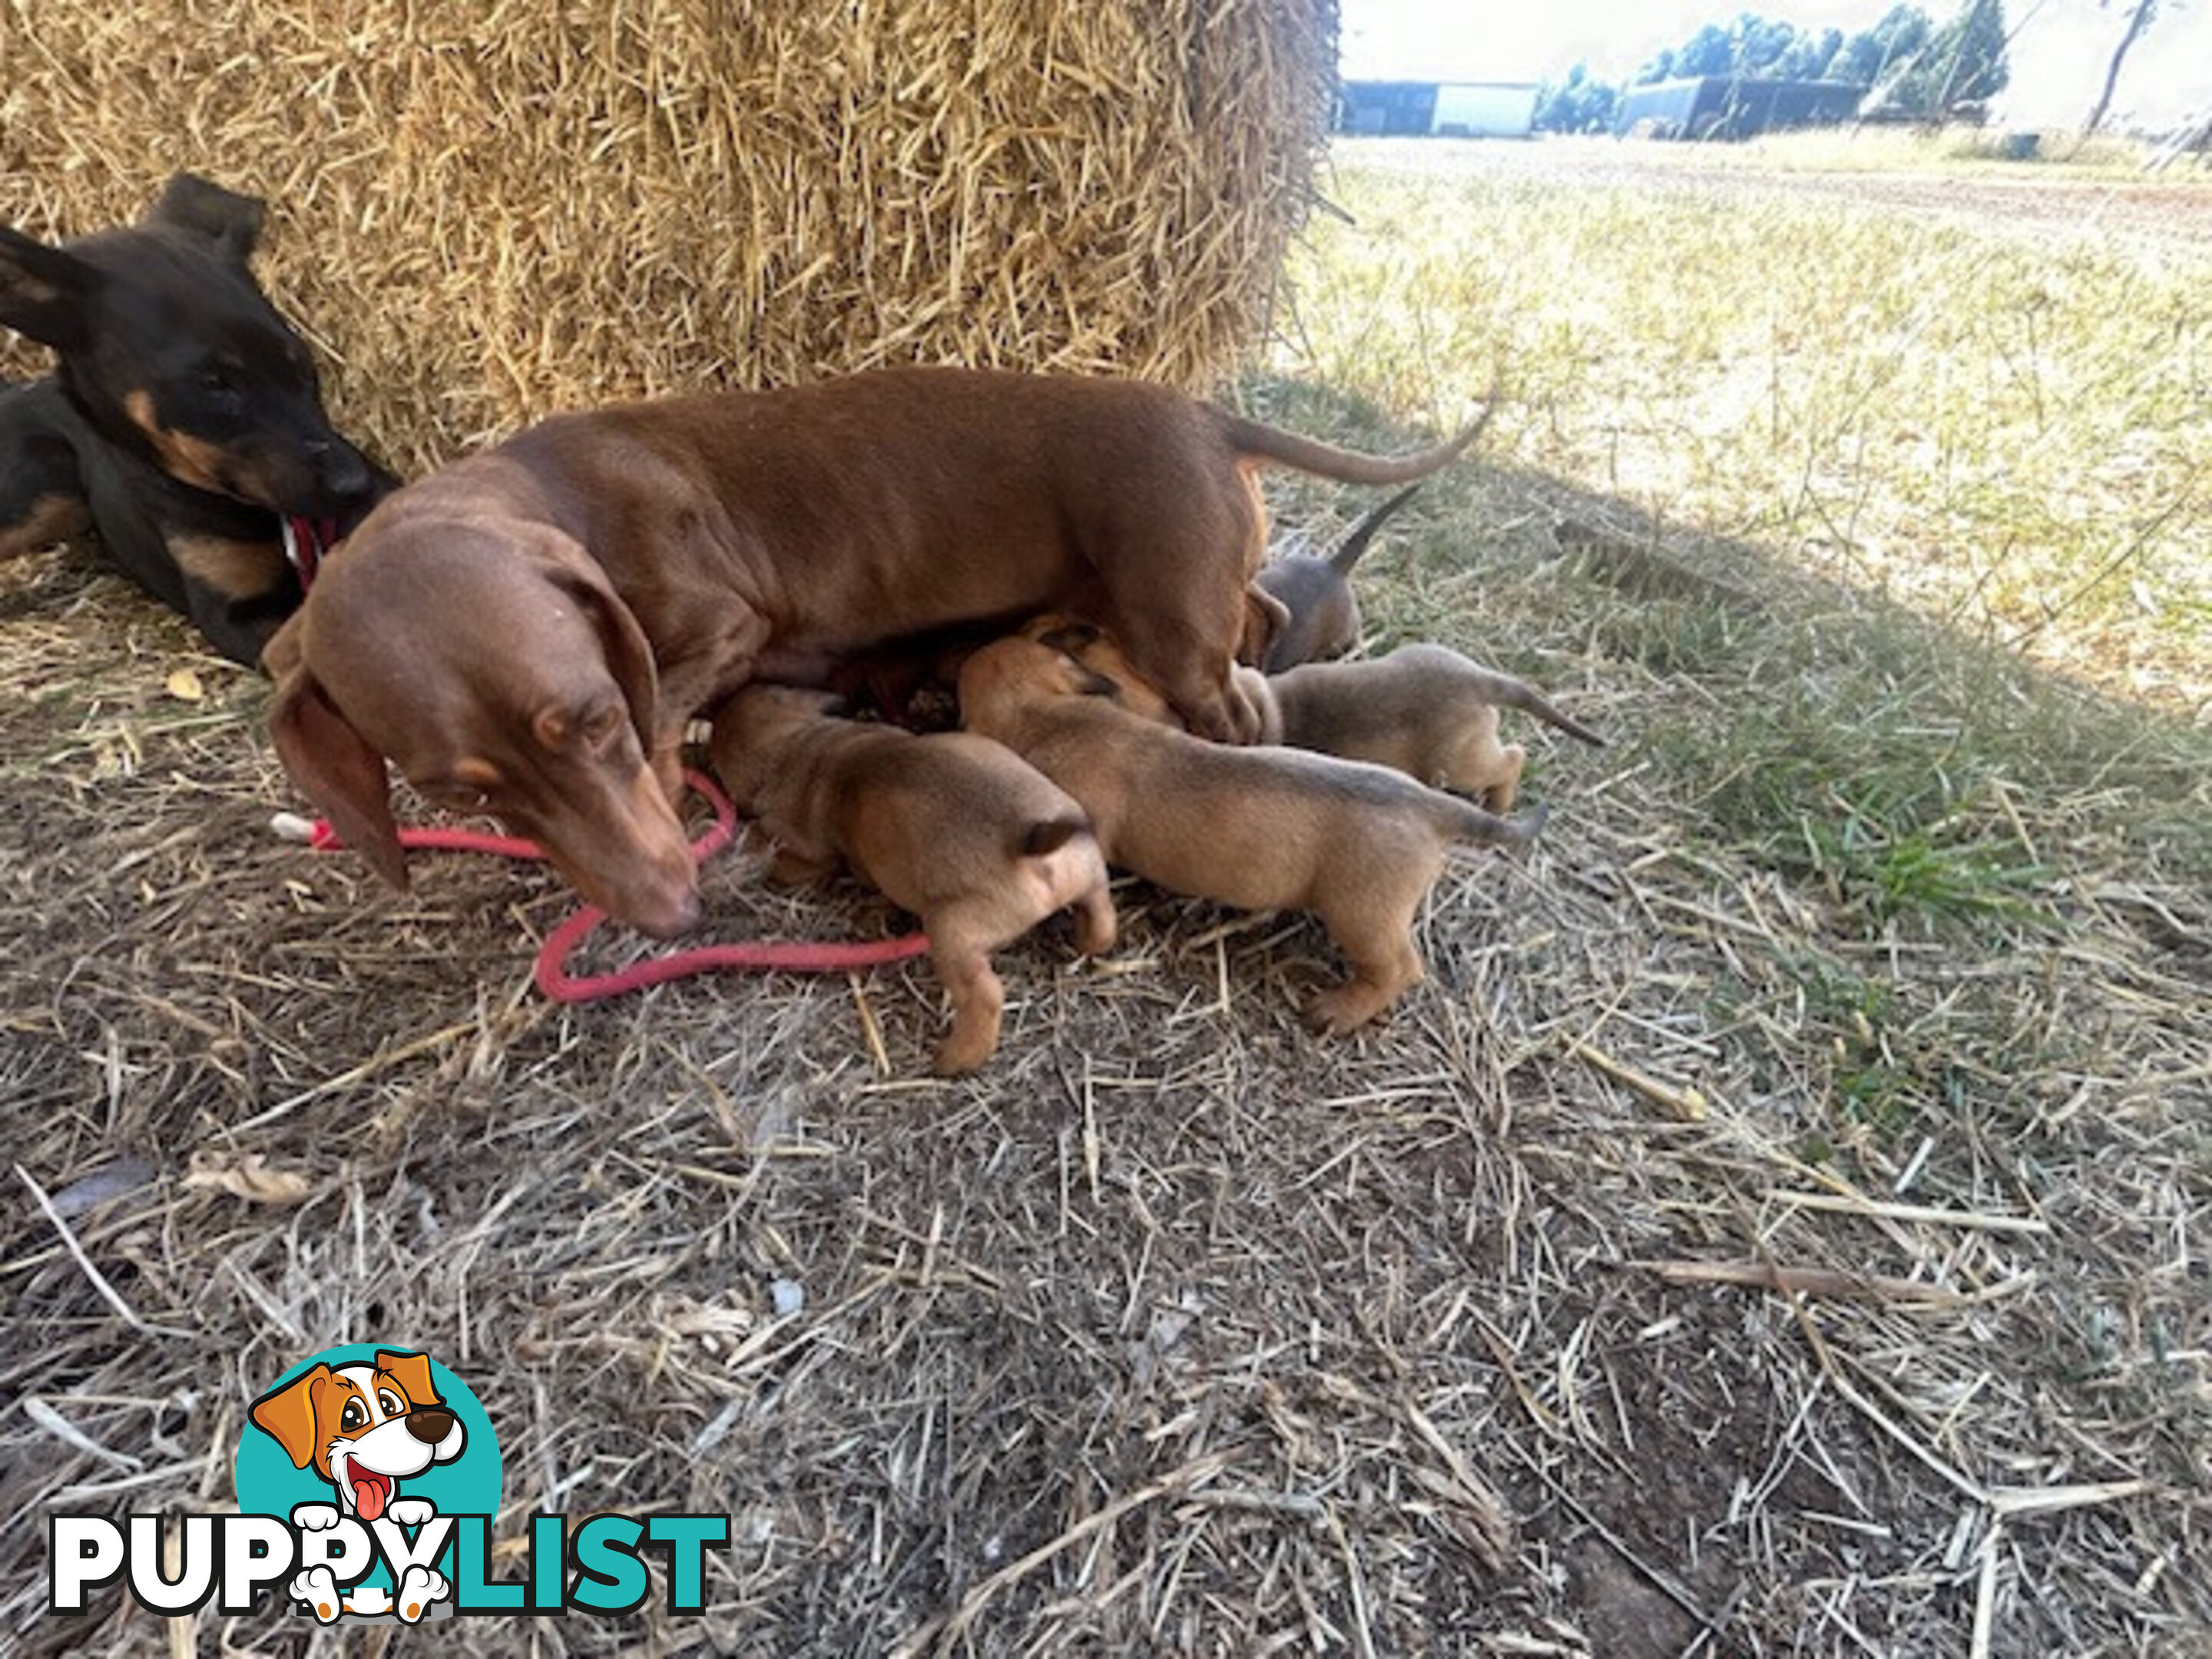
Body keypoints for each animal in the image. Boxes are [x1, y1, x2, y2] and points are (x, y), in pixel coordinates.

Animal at [263, 369, 1486, 938]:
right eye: (455, 794)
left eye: (596, 719)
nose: (672, 918)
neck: (555, 498)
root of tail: (1203, 417)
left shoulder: (722, 628)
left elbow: (668, 727)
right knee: (1260, 623)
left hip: (1169, 615)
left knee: (1229, 704)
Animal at [707, 677, 1114, 1079]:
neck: (796, 748)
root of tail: (1028, 841)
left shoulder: (809, 854)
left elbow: (785, 861)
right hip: (1088, 867)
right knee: (1102, 916)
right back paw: (1086, 940)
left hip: (951, 932)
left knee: (985, 995)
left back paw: (955, 1059)